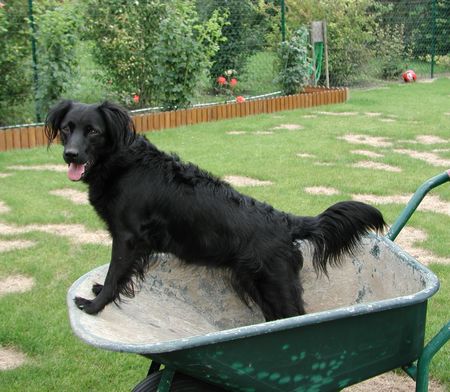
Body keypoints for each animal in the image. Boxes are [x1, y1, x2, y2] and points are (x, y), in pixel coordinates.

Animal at [44, 100, 384, 322]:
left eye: (93, 131)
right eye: (67, 129)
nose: (70, 155)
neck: (121, 162)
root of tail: (284, 221)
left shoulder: (127, 238)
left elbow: (116, 273)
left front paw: (95, 304)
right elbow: (117, 273)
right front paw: (99, 290)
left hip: (276, 285)